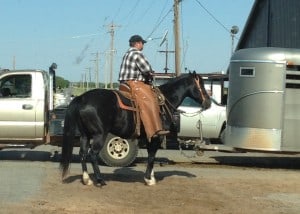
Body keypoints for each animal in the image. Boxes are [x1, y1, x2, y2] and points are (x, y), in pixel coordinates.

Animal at [59, 71, 211, 186]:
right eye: (201, 85)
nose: (208, 103)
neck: (163, 102)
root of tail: (82, 98)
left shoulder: (150, 137)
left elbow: (151, 156)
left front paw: (151, 176)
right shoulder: (157, 136)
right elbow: (151, 156)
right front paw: (148, 179)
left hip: (85, 135)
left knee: (83, 154)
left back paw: (87, 179)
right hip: (99, 135)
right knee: (93, 154)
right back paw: (100, 180)